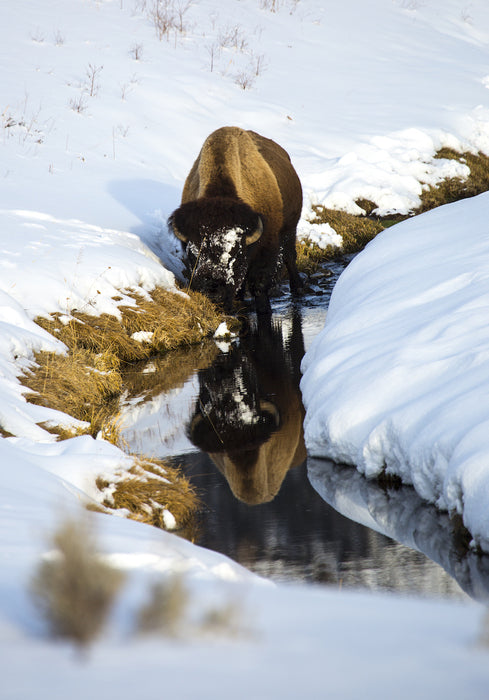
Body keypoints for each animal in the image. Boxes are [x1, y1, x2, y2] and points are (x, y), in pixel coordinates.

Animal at [170, 125, 304, 312]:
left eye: (234, 252)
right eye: (193, 253)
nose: (213, 292)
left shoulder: (267, 246)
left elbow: (259, 285)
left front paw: (264, 310)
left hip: (290, 228)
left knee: (289, 257)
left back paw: (298, 289)